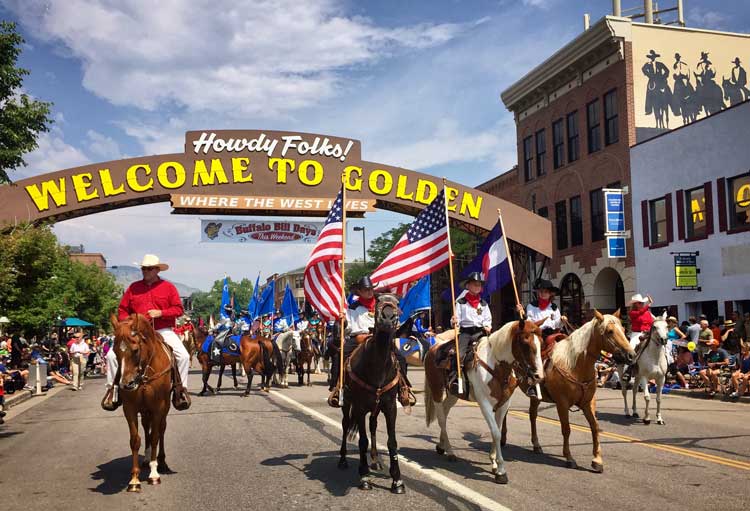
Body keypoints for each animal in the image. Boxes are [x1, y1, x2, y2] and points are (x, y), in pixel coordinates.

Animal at [111, 314, 174, 494]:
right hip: (145, 410)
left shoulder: (159, 407)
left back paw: (161, 462)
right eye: (115, 351)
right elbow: (135, 440)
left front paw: (154, 474)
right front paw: (134, 479)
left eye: (135, 350)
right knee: (147, 427)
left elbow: (155, 437)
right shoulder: (130, 408)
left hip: (164, 408)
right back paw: (146, 459)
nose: (127, 384)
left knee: (161, 430)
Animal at [340, 294, 408, 494]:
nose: (387, 318)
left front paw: (397, 480)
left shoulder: (390, 407)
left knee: (373, 425)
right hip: (347, 404)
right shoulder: (360, 407)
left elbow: (392, 442)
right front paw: (364, 477)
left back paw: (376, 460)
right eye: (378, 300)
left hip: (376, 408)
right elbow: (362, 441)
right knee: (345, 425)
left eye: (397, 302)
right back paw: (343, 460)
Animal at [424, 318, 548, 482]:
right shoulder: (485, 404)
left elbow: (498, 429)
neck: (497, 367)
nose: (539, 376)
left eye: (541, 342)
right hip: (437, 391)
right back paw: (450, 452)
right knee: (441, 419)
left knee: (444, 412)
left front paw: (494, 463)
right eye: (525, 342)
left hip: (453, 395)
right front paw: (501, 470)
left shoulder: (504, 403)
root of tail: (434, 347)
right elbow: (495, 432)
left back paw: (441, 445)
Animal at [508, 310, 636, 474]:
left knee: (532, 415)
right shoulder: (562, 403)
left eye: (624, 330)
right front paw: (569, 458)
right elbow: (566, 429)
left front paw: (597, 460)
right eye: (609, 331)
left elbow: (595, 427)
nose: (631, 355)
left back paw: (536, 445)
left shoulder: (588, 402)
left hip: (535, 397)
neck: (575, 365)